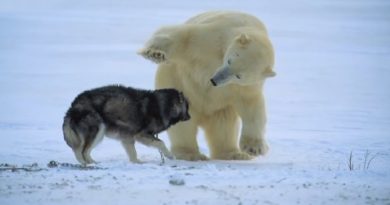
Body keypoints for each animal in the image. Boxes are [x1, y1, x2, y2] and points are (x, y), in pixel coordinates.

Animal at [62, 85, 190, 165]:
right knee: (81, 151)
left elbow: (133, 153)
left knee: (83, 151)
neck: (161, 106)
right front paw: (170, 156)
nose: (190, 117)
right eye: (187, 108)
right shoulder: (140, 135)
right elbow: (161, 143)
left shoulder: (127, 137)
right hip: (98, 129)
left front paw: (137, 162)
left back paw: (92, 163)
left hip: (98, 133)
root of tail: (74, 104)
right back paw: (87, 164)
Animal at [139, 11, 276, 161]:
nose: (215, 80)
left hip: (220, 108)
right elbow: (183, 38)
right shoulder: (213, 38)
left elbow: (251, 106)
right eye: (229, 60)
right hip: (178, 85)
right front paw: (155, 54)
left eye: (239, 76)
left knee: (224, 126)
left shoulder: (247, 85)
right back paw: (191, 154)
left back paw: (233, 154)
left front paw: (254, 148)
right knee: (183, 125)